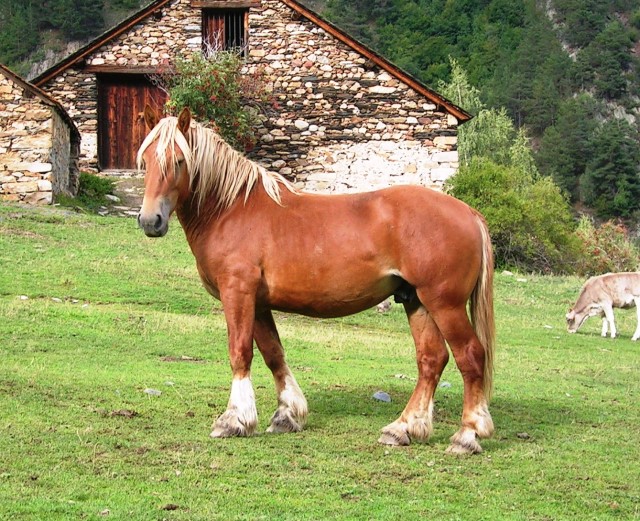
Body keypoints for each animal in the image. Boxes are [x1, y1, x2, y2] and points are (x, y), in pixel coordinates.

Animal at [136, 105, 496, 454]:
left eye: (178, 161)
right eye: (147, 159)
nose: (150, 220)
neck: (231, 209)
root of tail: (469, 213)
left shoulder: (237, 292)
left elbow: (240, 352)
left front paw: (234, 420)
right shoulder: (259, 302)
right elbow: (274, 354)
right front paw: (287, 415)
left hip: (444, 304)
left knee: (470, 356)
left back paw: (467, 435)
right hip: (416, 301)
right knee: (431, 360)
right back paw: (402, 429)